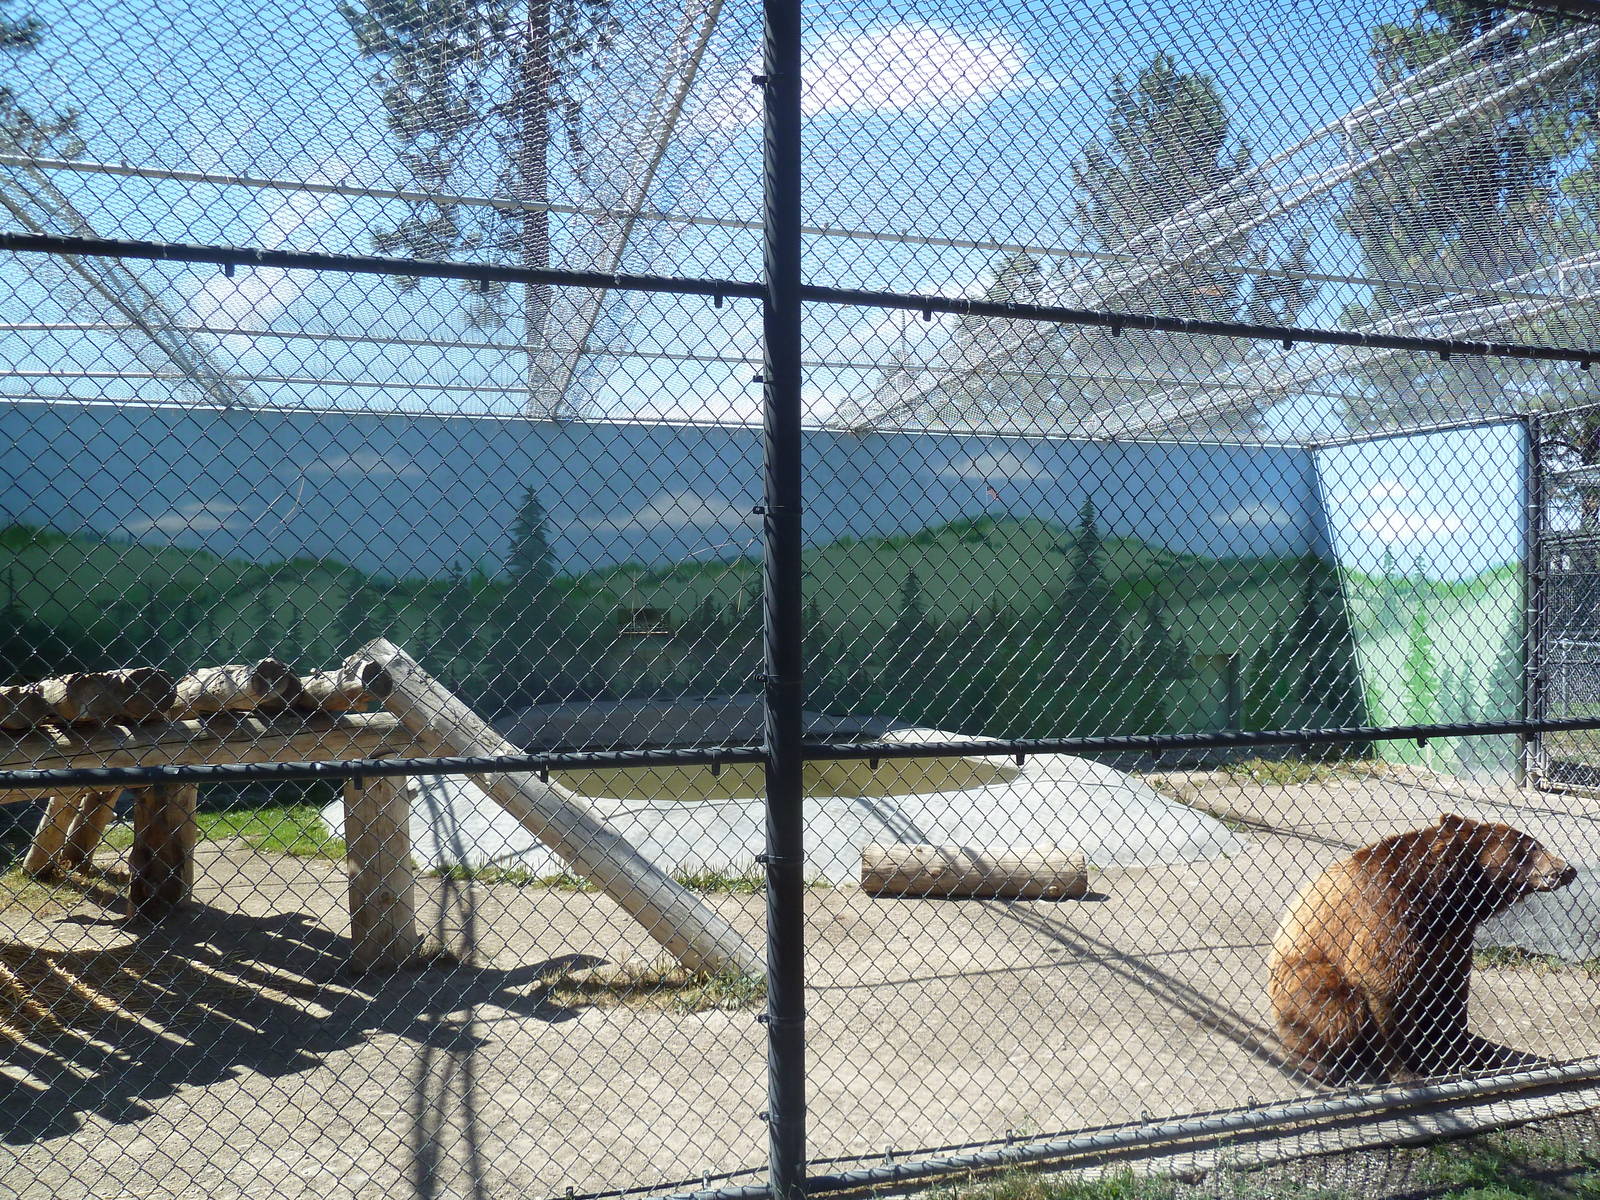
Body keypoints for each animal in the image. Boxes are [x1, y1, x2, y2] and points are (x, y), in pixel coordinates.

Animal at [1267, 813, 1575, 1085]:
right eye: (1530, 846)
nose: (1565, 869)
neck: (1442, 897)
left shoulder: (1453, 936)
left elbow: (1450, 993)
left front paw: (1471, 1052)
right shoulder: (1387, 910)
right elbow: (1385, 983)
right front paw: (1406, 1071)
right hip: (1305, 972)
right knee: (1334, 1005)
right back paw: (1319, 1063)